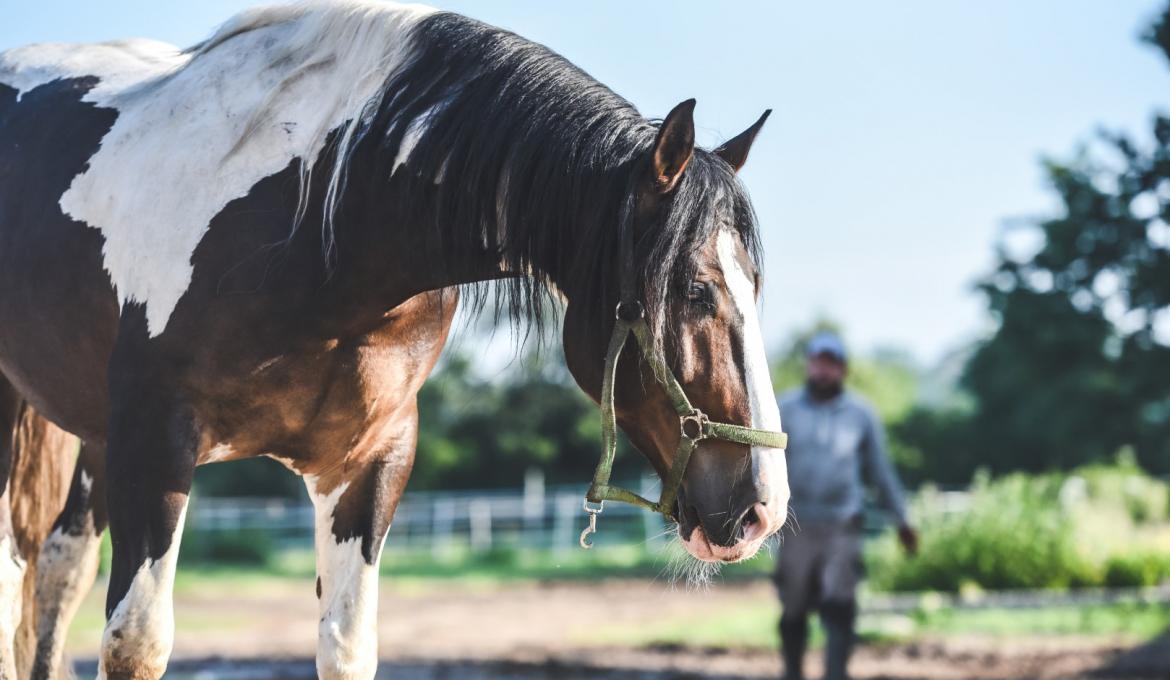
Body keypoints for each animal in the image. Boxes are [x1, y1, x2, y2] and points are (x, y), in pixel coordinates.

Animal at [0, 1, 789, 678]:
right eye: (694, 290)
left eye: (755, 285)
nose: (762, 509)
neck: (318, 222)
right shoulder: (155, 441)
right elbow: (136, 644)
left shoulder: (371, 458)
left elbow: (347, 648)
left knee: (55, 576)